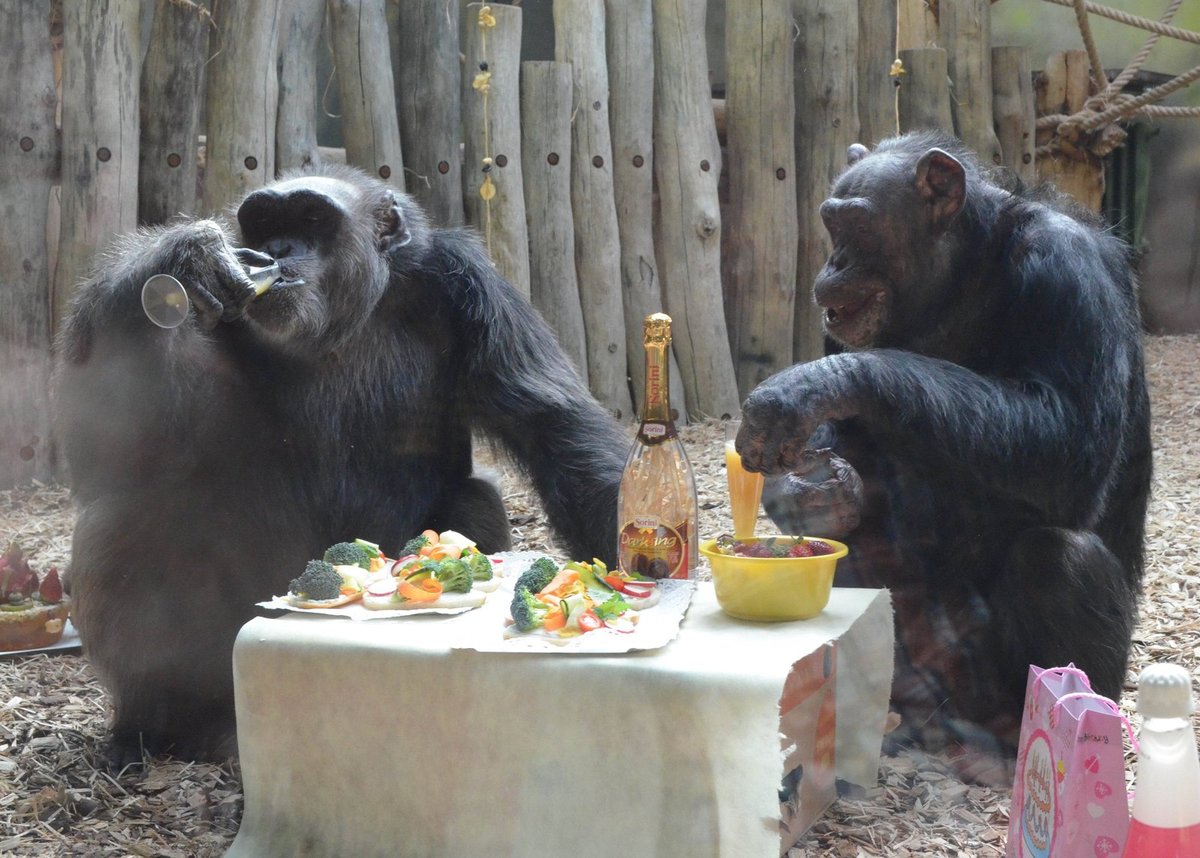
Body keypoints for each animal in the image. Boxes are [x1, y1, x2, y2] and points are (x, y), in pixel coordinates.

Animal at [54, 164, 628, 763]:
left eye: (311, 218)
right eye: (265, 222)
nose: (278, 249)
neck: (346, 319)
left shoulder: (475, 286)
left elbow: (552, 425)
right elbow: (116, 443)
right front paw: (188, 257)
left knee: (477, 499)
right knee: (129, 518)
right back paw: (156, 724)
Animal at [739, 132, 1152, 777]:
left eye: (858, 227)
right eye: (831, 226)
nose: (834, 264)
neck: (960, 278)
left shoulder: (1069, 272)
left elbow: (1069, 449)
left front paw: (809, 387)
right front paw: (810, 491)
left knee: (1056, 556)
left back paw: (1017, 745)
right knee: (854, 546)